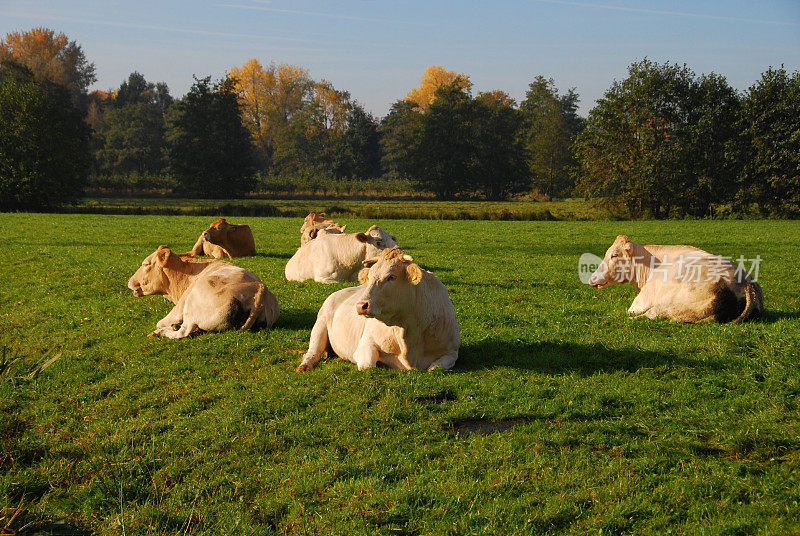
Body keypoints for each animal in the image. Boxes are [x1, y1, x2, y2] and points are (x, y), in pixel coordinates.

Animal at [126, 246, 280, 338]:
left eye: (145, 264)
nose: (129, 281)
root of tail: (260, 289)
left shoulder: (179, 308)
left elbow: (161, 322)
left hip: (191, 306)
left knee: (182, 332)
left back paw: (160, 332)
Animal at [294, 249, 460, 370]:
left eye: (391, 277)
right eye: (371, 276)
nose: (361, 305)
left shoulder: (452, 351)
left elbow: (435, 368)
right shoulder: (365, 344)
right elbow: (368, 365)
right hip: (319, 325)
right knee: (312, 352)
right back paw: (305, 365)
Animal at [588, 234, 764, 322]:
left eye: (614, 255)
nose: (592, 279)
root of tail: (747, 284)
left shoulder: (641, 301)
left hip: (670, 305)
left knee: (650, 315)